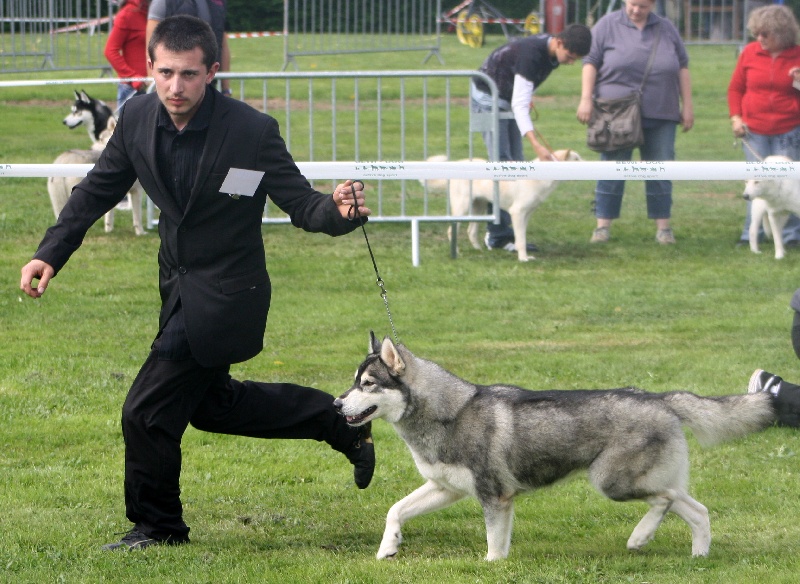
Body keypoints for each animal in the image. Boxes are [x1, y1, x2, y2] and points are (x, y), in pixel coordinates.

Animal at [52, 94, 145, 235]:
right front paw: (140, 233)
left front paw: (108, 229)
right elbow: (137, 217)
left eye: (101, 138)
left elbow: (109, 217)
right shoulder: (136, 192)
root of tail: (64, 159)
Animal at [334, 333, 776, 560]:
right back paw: (695, 555)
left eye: (367, 385)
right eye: (353, 381)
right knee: (696, 510)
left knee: (665, 501)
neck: (450, 412)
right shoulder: (446, 489)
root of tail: (659, 397)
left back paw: (639, 537)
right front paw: (388, 548)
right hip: (643, 480)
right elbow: (395, 510)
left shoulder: (495, 497)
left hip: (611, 482)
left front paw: (493, 567)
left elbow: (494, 546)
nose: (337, 404)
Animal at [423, 149, 582, 262]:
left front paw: (522, 254)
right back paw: (457, 253)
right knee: (451, 230)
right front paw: (523, 259)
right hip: (462, 208)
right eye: (576, 159)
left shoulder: (526, 215)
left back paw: (479, 251)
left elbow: (521, 237)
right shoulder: (517, 212)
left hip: (479, 207)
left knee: (471, 231)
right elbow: (521, 239)